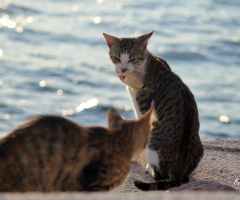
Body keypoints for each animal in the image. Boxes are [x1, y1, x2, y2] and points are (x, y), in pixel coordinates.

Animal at [103, 31, 204, 191]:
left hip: (154, 143)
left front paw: (132, 157)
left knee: (159, 175)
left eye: (132, 59)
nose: (123, 69)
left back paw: (150, 169)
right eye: (117, 58)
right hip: (199, 148)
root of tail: (178, 170)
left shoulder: (143, 109)